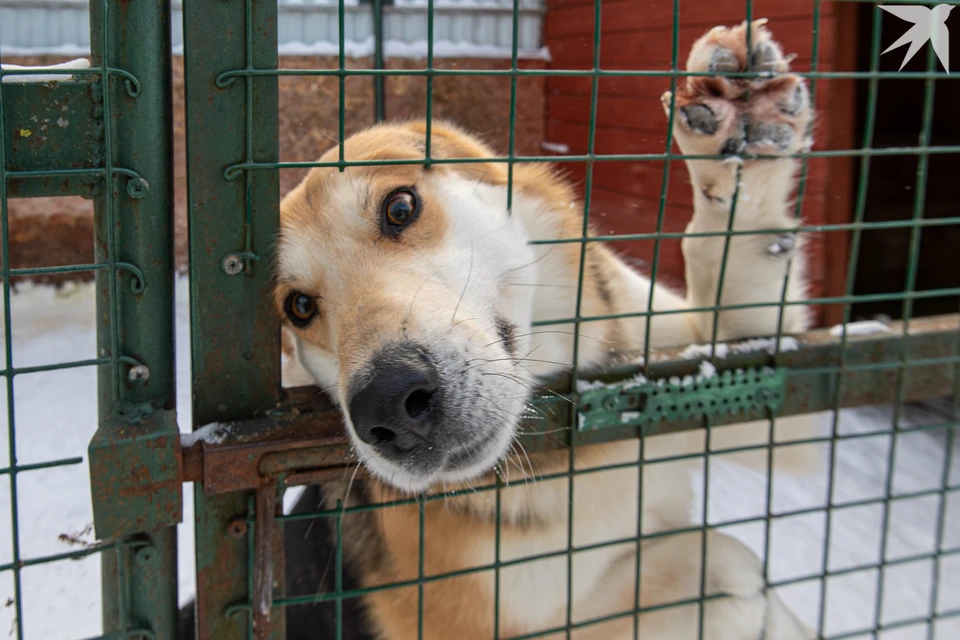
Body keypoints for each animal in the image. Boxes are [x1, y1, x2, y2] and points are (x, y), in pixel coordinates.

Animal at [184, 20, 820, 640]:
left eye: (399, 208)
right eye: (298, 307)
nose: (386, 405)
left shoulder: (747, 387)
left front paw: (738, 139)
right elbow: (726, 569)